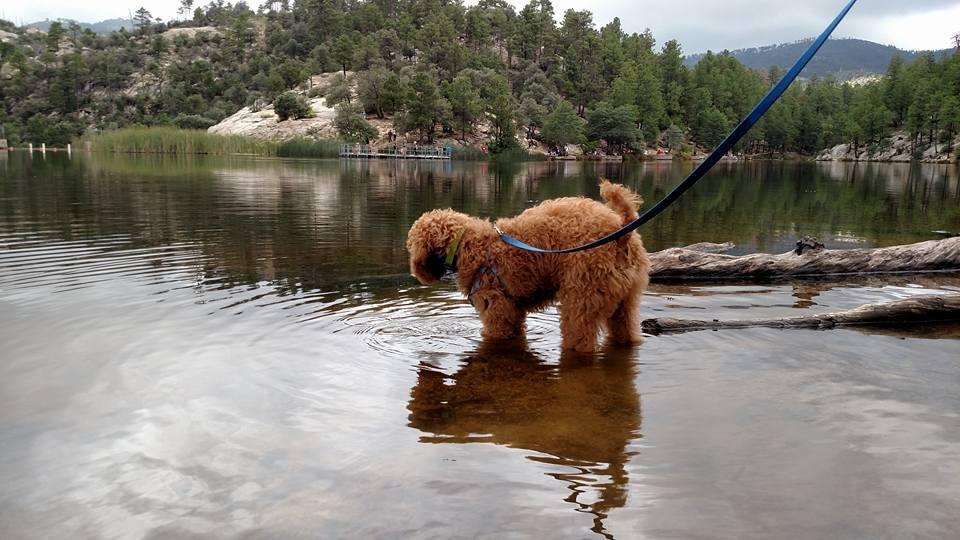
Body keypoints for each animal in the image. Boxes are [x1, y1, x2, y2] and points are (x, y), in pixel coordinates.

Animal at [406, 179, 652, 352]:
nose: (418, 274)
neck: (469, 244)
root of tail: (621, 232)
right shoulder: (513, 312)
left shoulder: (496, 309)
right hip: (626, 303)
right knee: (626, 331)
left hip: (582, 300)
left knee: (580, 336)